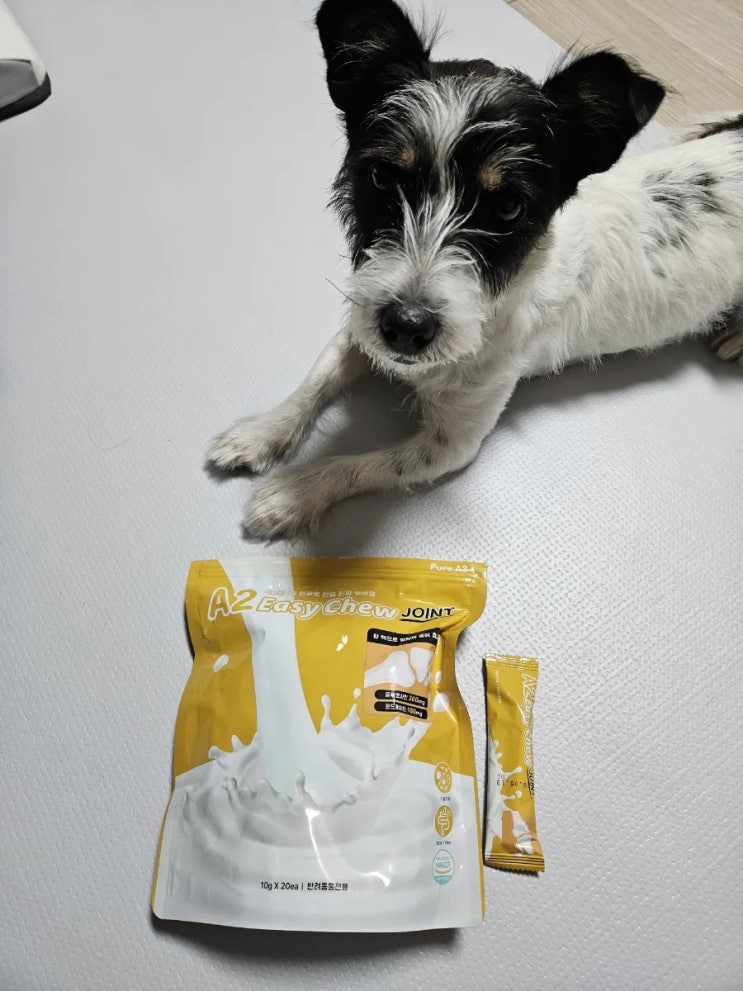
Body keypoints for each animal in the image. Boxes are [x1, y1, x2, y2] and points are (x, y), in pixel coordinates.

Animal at [208, 0, 743, 539]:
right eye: (381, 177)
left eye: (507, 207)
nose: (405, 327)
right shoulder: (362, 318)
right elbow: (315, 381)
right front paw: (260, 432)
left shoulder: (451, 444)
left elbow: (361, 464)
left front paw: (291, 494)